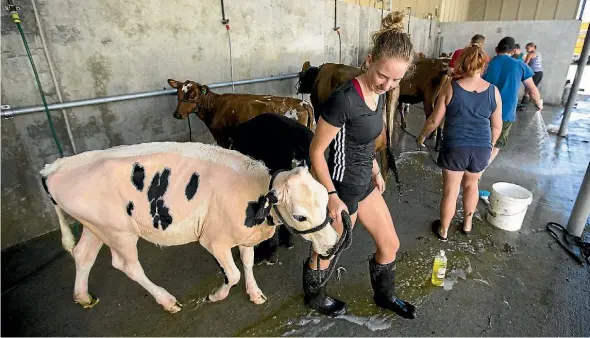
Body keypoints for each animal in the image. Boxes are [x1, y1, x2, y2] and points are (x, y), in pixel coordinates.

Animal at [40, 141, 338, 312]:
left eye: (326, 199)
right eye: (300, 216)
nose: (333, 244)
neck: (253, 191)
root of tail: (56, 166)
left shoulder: (243, 235)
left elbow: (248, 263)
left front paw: (254, 293)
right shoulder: (214, 241)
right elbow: (233, 274)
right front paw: (216, 296)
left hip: (96, 226)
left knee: (83, 255)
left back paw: (83, 297)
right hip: (119, 232)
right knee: (128, 266)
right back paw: (167, 301)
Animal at [169, 80, 316, 149]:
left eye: (193, 95)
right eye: (178, 93)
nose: (177, 114)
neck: (214, 105)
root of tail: (302, 103)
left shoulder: (224, 139)